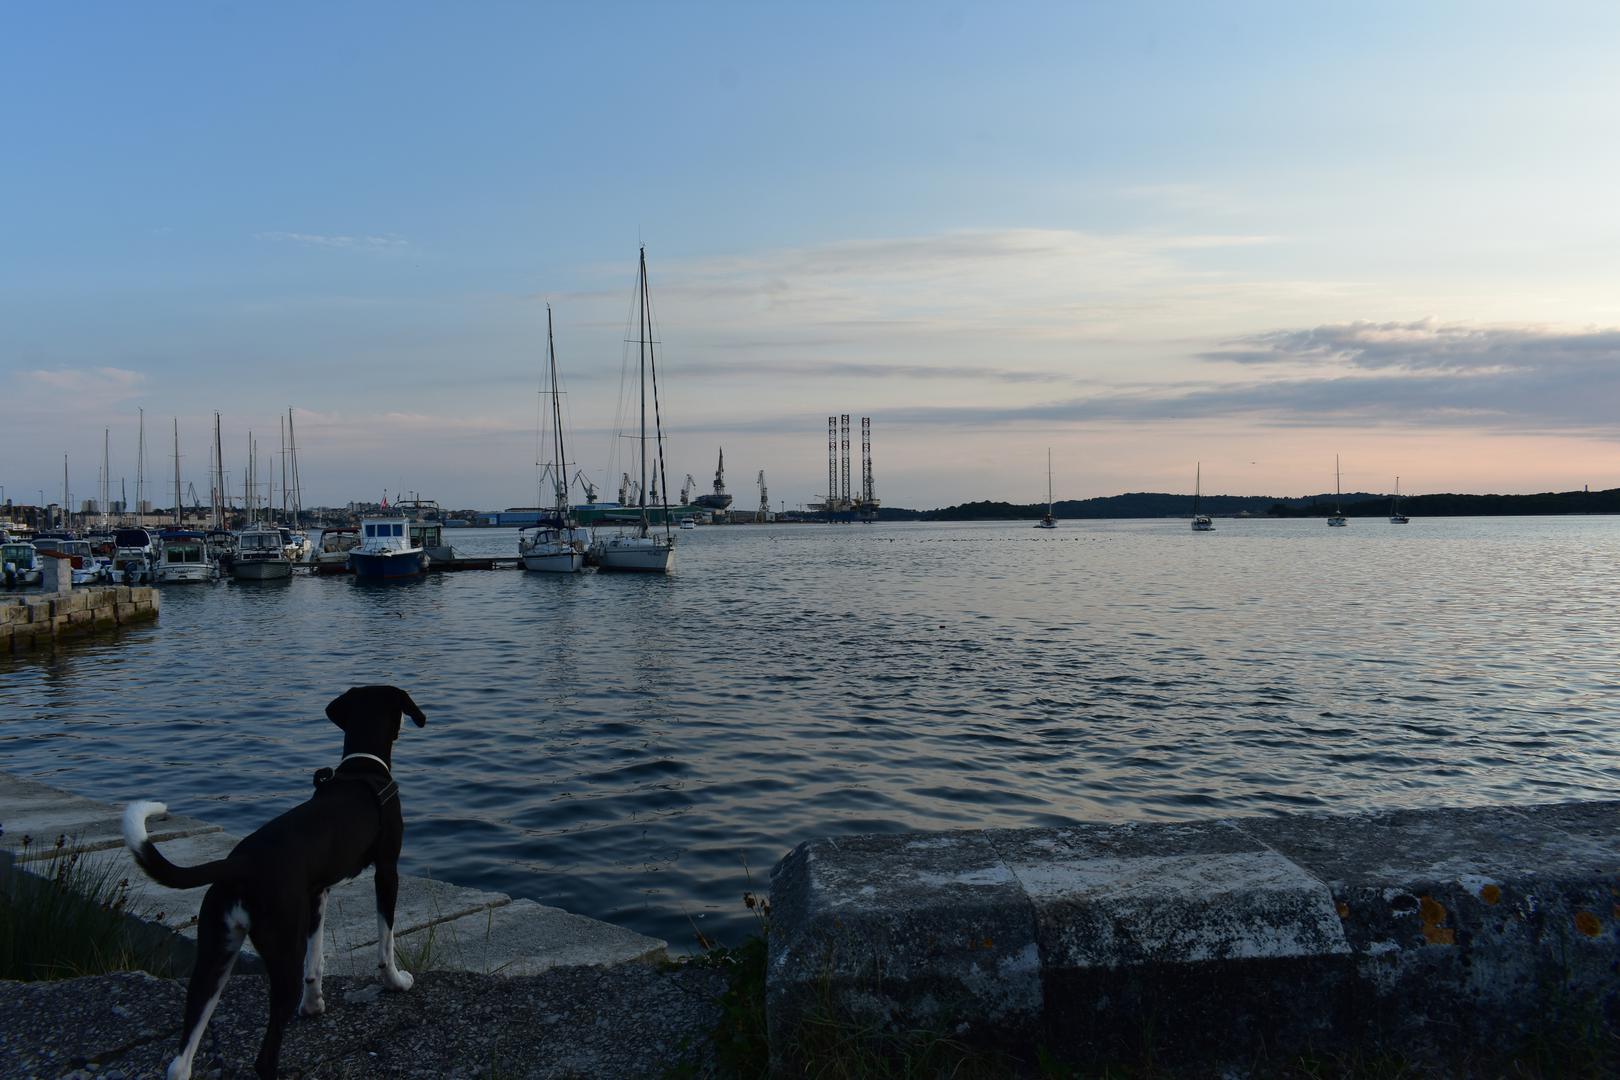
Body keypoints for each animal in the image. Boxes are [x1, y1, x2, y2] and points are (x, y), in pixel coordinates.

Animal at [124, 683, 430, 1080]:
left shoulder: (316, 893)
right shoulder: (387, 870)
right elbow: (385, 941)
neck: (363, 768)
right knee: (265, 1057)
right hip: (281, 951)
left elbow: (315, 963)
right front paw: (396, 982)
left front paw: (313, 1006)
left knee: (180, 1062)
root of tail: (236, 865)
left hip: (214, 956)